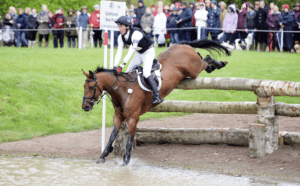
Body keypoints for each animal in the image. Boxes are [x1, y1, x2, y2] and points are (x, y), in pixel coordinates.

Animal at [81, 39, 231, 166]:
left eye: (91, 87)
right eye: (84, 86)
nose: (85, 106)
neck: (123, 90)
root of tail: (182, 45)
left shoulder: (133, 118)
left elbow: (129, 140)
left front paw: (126, 162)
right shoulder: (118, 117)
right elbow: (111, 137)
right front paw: (103, 156)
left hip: (194, 70)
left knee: (206, 58)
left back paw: (219, 64)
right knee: (202, 57)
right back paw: (213, 66)